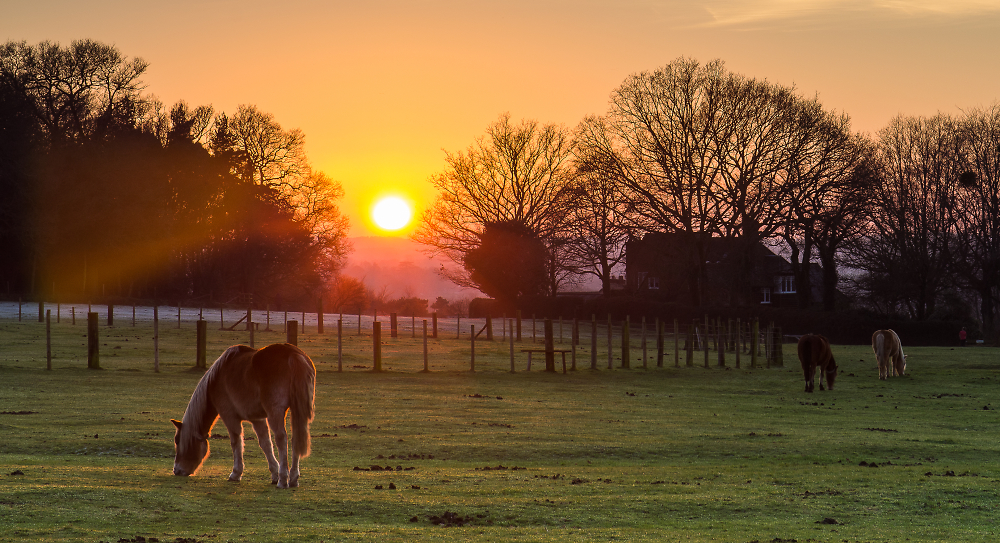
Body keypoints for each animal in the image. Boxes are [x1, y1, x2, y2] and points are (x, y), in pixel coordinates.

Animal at [171, 343, 316, 488]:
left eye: (177, 440)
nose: (176, 470)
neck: (216, 379)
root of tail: (292, 354)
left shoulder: (229, 416)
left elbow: (236, 442)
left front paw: (236, 473)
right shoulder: (257, 419)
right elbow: (265, 444)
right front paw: (274, 473)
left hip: (275, 412)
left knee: (281, 439)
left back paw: (283, 480)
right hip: (297, 410)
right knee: (296, 438)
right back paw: (293, 478)